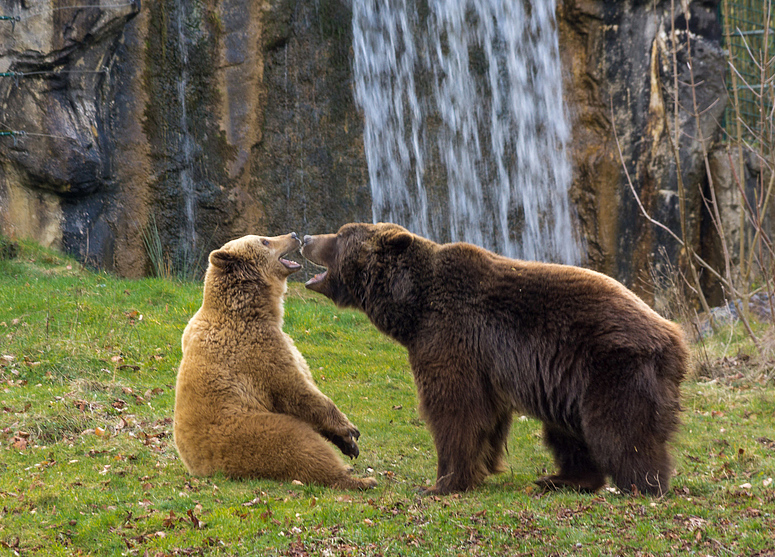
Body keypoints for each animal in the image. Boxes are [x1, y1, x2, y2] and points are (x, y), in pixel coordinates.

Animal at [177, 232, 382, 488]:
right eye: (264, 240)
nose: (293, 235)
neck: (260, 311)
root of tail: (203, 470)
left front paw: (348, 444)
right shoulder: (259, 350)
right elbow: (298, 391)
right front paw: (349, 429)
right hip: (254, 432)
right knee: (304, 448)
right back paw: (361, 480)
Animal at [300, 222, 688, 496]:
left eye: (340, 235)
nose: (305, 236)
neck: (413, 307)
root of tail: (675, 336)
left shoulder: (449, 336)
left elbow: (455, 408)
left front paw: (440, 483)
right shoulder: (481, 361)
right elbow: (486, 416)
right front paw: (478, 469)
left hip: (612, 366)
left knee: (619, 430)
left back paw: (642, 485)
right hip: (567, 384)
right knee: (567, 433)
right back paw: (562, 480)